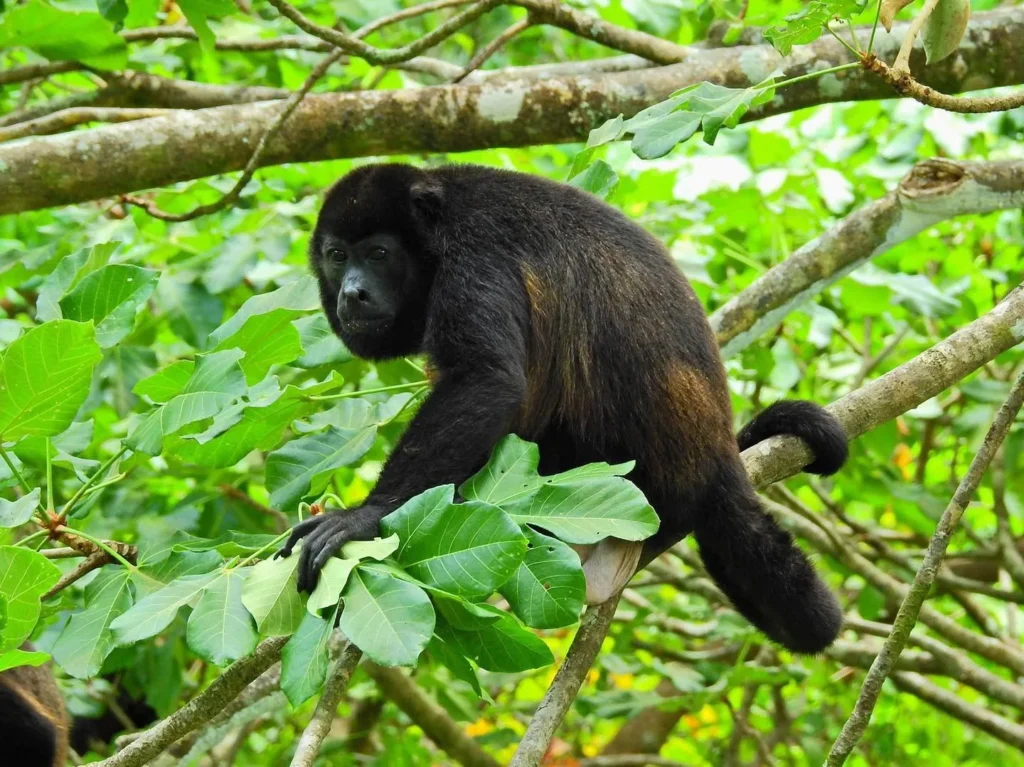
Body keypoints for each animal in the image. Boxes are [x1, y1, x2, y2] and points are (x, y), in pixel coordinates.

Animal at [278, 163, 848, 654]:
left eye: (378, 253)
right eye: (337, 255)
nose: (352, 292)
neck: (435, 230)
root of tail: (717, 457)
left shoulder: (475, 255)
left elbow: (486, 379)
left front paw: (364, 518)